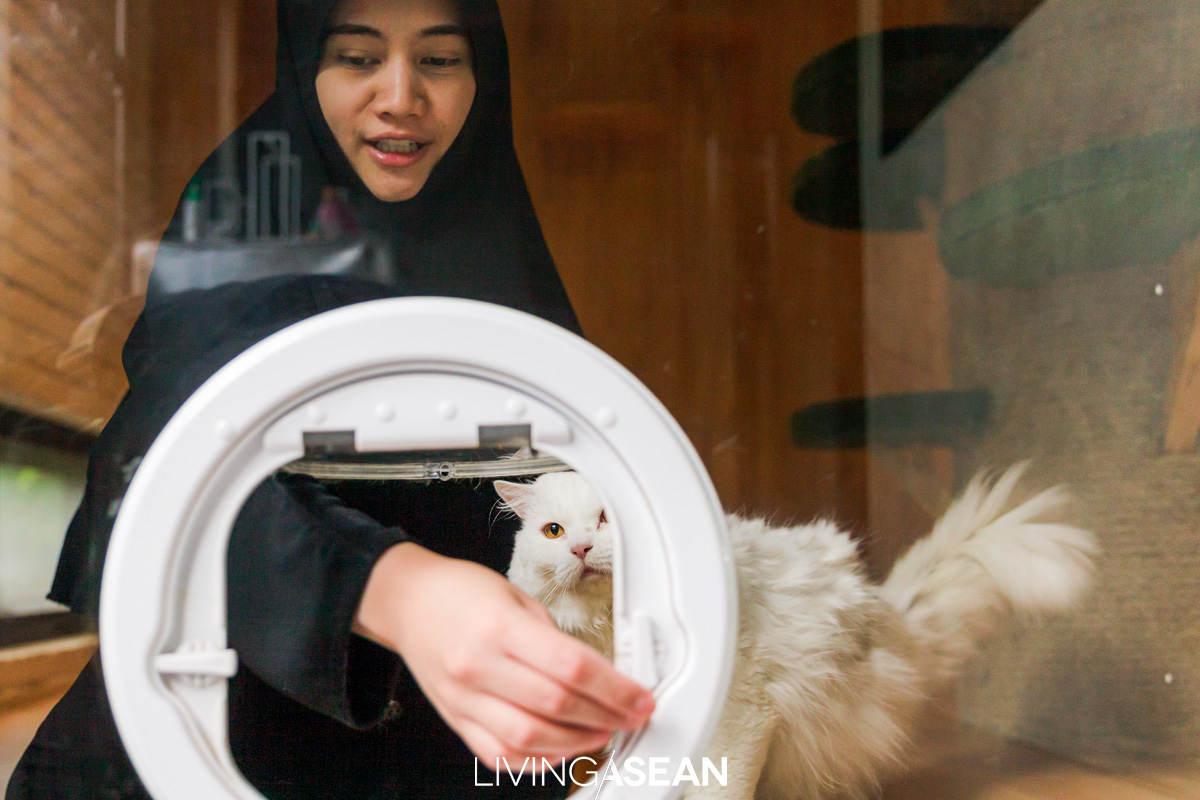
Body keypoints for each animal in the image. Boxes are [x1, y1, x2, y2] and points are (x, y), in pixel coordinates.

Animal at [494, 465, 1099, 796]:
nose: (581, 549)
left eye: (605, 521)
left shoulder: (745, 713)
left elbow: (719, 789)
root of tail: (889, 617)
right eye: (554, 532)